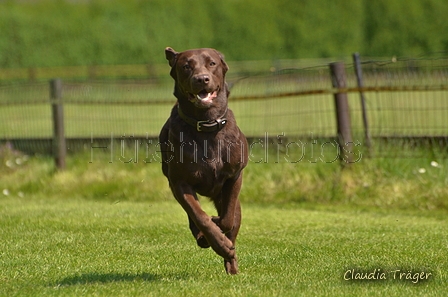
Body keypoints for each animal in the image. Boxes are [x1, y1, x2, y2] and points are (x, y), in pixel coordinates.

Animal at [158, 47, 248, 274]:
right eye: (186, 66)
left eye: (212, 63)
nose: (201, 79)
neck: (206, 124)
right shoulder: (179, 182)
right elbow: (199, 216)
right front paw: (215, 239)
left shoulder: (235, 175)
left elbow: (227, 219)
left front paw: (221, 233)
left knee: (233, 221)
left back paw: (232, 266)